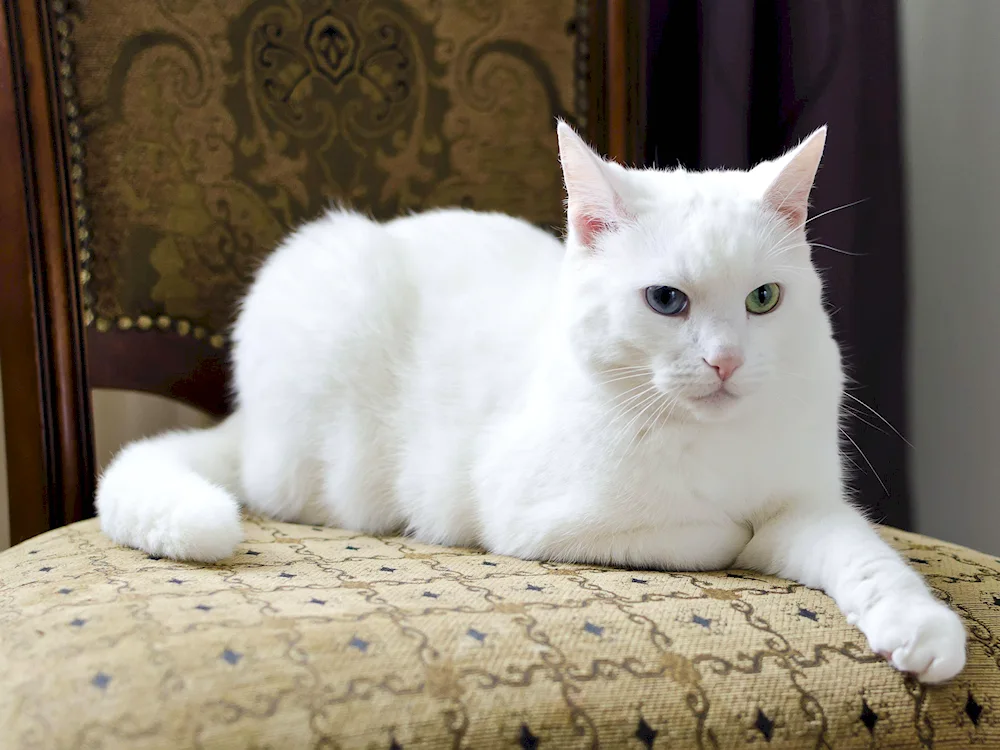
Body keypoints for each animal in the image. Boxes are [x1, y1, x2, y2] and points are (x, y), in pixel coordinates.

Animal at [97, 123, 964, 688]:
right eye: (667, 300)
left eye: (763, 299)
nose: (725, 361)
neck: (704, 438)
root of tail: (243, 424)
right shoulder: (540, 518)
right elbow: (713, 534)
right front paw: (730, 532)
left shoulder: (805, 503)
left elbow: (860, 553)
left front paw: (918, 627)